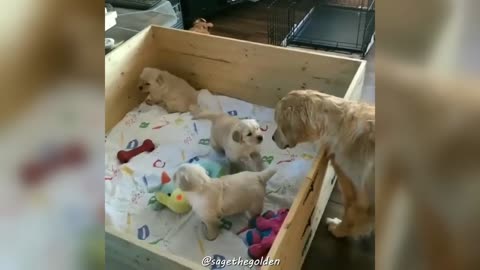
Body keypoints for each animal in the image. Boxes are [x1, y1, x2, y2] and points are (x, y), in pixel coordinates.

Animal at [270, 89, 376, 238]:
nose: (272, 138)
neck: (339, 124)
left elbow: (349, 218)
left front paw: (337, 228)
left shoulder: (358, 197)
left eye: (279, 123)